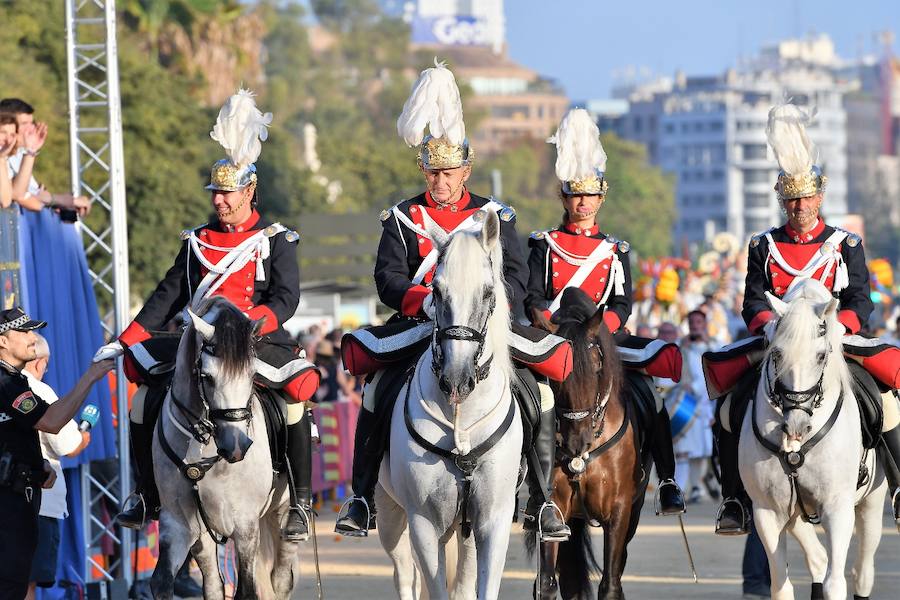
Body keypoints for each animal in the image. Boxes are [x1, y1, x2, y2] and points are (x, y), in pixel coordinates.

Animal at [150, 298, 298, 600]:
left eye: (252, 375)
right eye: (206, 376)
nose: (237, 446)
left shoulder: (245, 525)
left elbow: (247, 591)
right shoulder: (180, 523)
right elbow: (165, 582)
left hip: (282, 515)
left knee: (281, 580)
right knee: (214, 583)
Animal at [374, 209, 524, 596]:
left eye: (488, 292)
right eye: (436, 290)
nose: (457, 379)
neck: (461, 419)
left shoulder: (492, 522)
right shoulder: (424, 524)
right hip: (390, 513)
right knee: (405, 575)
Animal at [532, 288, 652, 596]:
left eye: (598, 367)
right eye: (556, 374)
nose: (576, 440)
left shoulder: (619, 512)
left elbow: (610, 583)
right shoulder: (554, 511)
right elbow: (547, 584)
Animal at [740, 282, 884, 600]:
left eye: (820, 356)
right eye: (776, 354)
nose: (796, 425)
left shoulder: (837, 508)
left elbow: (835, 583)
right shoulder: (768, 511)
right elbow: (781, 586)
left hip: (872, 504)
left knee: (863, 572)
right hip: (796, 513)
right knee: (818, 559)